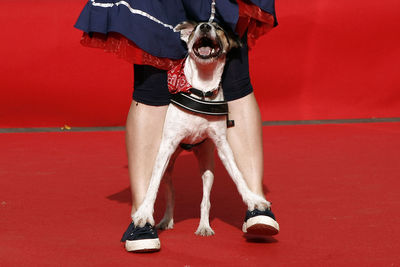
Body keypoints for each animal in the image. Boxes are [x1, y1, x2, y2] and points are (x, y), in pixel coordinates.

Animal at [129, 20, 278, 251]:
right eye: (198, 27)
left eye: (219, 29)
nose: (205, 26)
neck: (202, 89)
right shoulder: (166, 146)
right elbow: (152, 186)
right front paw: (144, 214)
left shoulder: (223, 145)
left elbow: (238, 176)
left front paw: (254, 200)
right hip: (168, 167)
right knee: (170, 193)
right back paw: (166, 220)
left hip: (208, 165)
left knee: (205, 199)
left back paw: (204, 226)